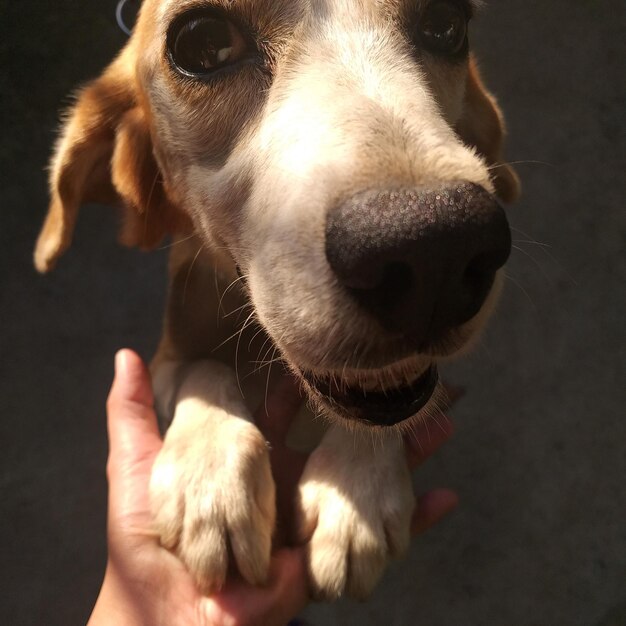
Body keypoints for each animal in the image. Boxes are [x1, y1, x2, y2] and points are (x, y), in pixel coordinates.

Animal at [36, 0, 520, 600]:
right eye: (203, 43)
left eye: (446, 24)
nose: (436, 246)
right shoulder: (169, 354)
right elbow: (203, 371)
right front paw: (209, 486)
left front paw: (356, 496)